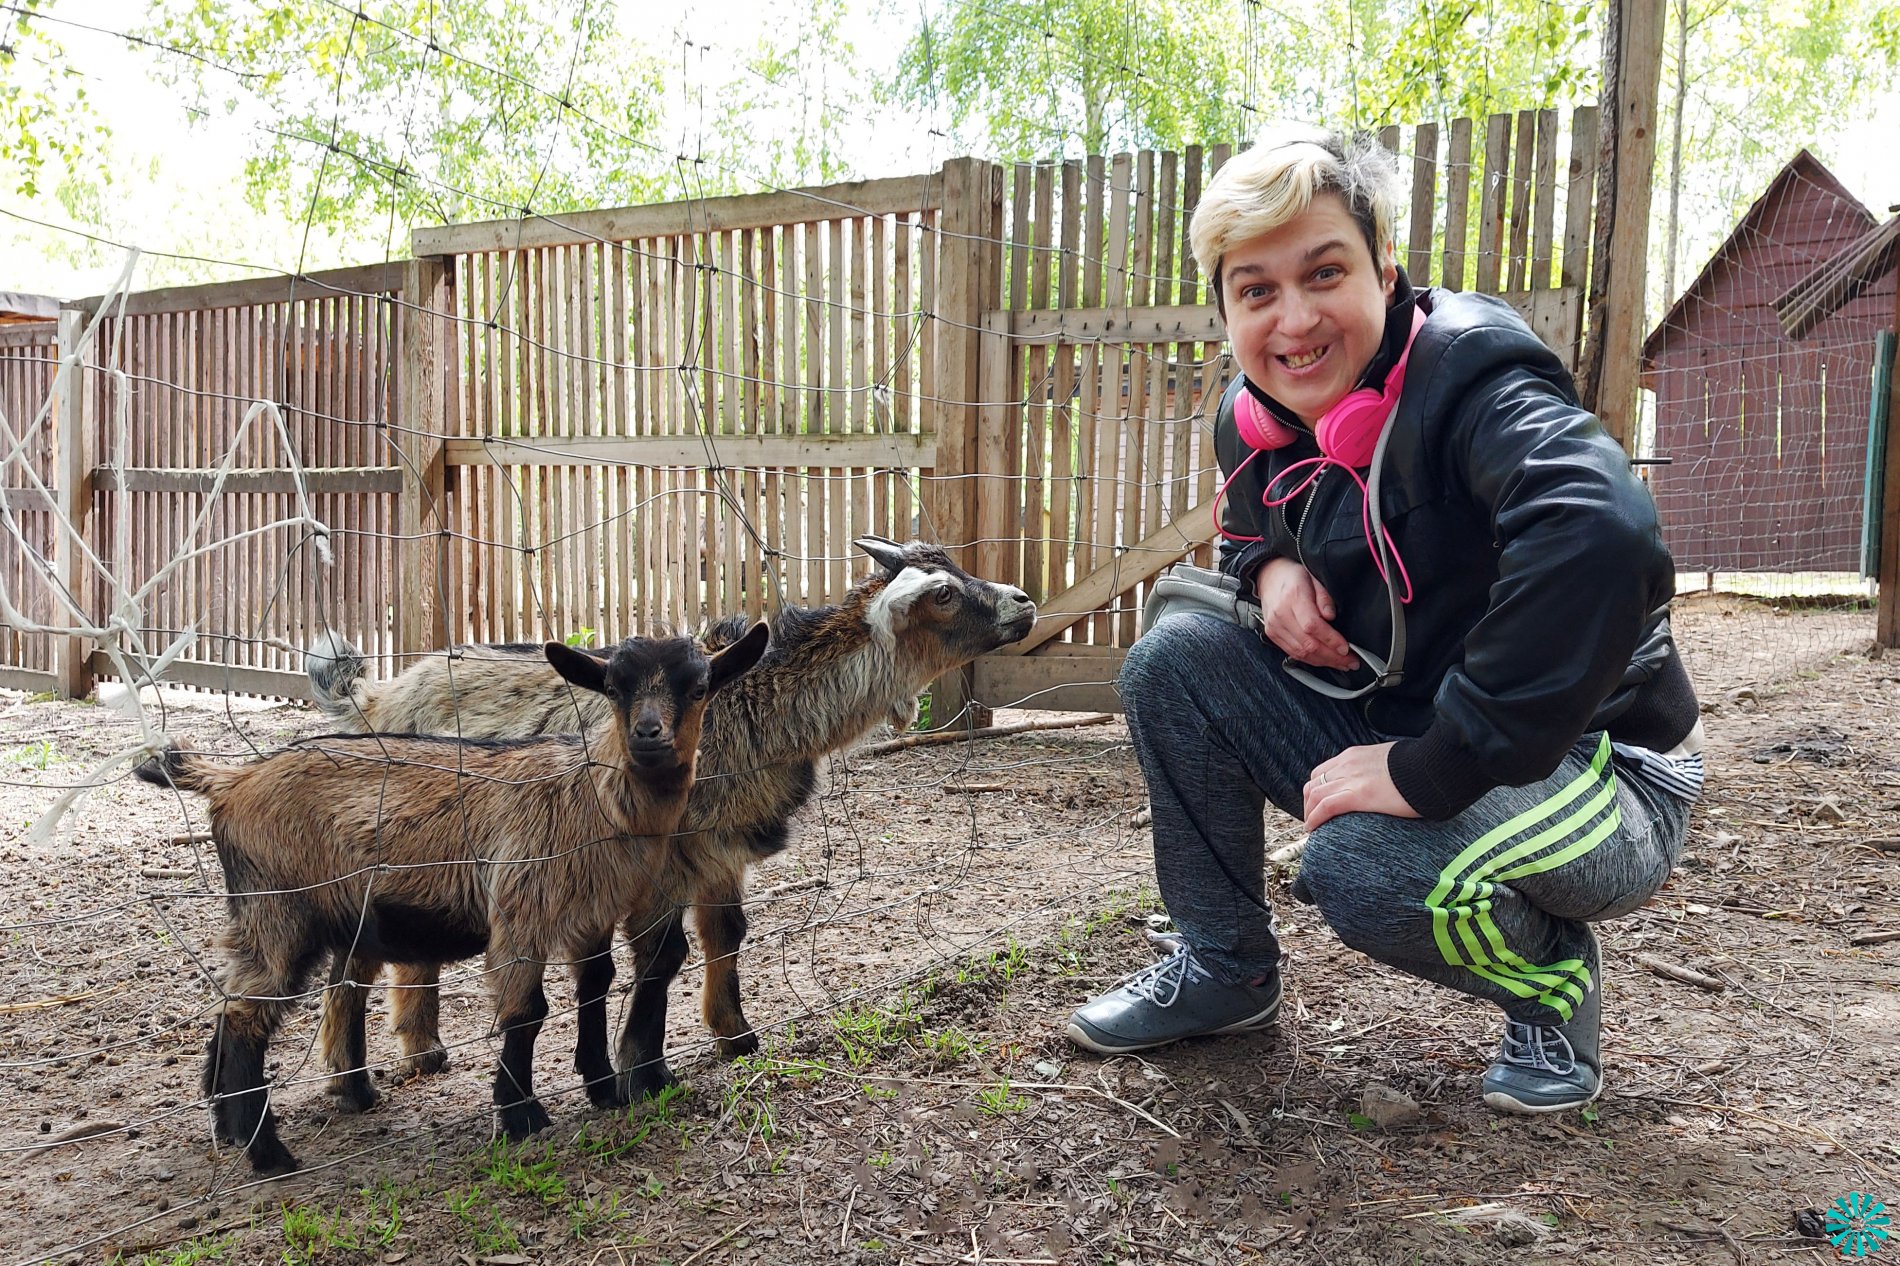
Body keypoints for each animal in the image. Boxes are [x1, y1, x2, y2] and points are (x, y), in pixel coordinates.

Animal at [132, 627, 771, 1170]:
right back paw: (268, 1155)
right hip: (278, 908)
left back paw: (231, 1128)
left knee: (231, 1004)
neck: (587, 794)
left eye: (699, 687)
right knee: (247, 1016)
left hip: (268, 915)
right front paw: (520, 1116)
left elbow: (595, 988)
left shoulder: (590, 915)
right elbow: (527, 1013)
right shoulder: (519, 911)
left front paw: (603, 1088)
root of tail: (230, 780)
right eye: (614, 688)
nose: (648, 735)